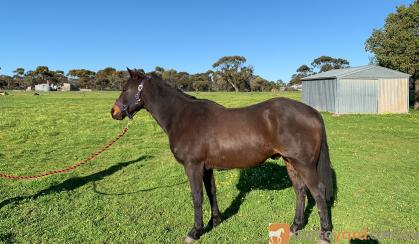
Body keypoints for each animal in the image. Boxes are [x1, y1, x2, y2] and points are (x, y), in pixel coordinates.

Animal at [110, 69, 334, 244]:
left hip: (304, 164)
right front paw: (215, 222)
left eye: (125, 89)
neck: (182, 117)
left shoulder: (193, 166)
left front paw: (195, 231)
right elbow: (211, 192)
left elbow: (197, 197)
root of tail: (313, 113)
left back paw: (324, 234)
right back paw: (295, 226)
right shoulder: (206, 167)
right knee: (300, 191)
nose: (114, 112)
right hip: (291, 162)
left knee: (318, 192)